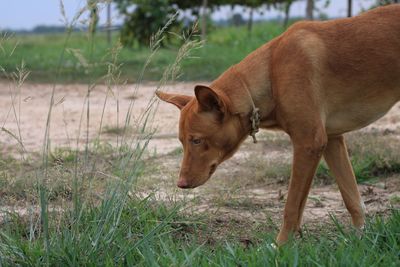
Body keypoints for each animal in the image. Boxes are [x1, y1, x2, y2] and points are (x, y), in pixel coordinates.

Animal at [156, 4, 400, 246]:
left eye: (197, 140)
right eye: (182, 142)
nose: (181, 184)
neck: (270, 72)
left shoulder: (309, 143)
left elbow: (291, 207)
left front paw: (281, 246)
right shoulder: (332, 141)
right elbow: (352, 198)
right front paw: (360, 238)